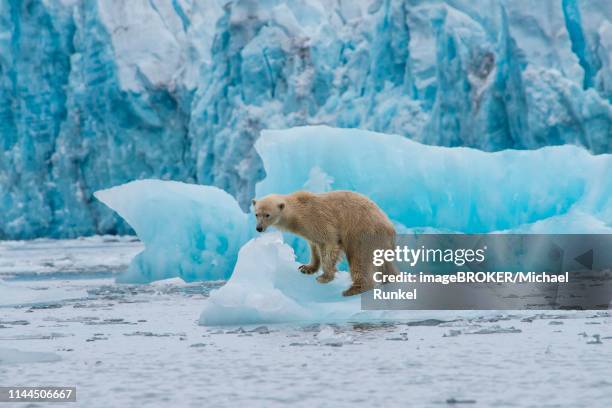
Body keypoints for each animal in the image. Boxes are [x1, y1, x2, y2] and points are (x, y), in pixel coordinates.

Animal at [252, 191, 396, 296]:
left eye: (267, 215)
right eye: (256, 214)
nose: (259, 228)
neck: (298, 211)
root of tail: (390, 227)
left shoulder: (317, 220)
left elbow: (329, 243)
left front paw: (325, 277)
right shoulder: (308, 230)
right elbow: (314, 247)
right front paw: (306, 268)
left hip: (363, 233)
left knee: (359, 259)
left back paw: (353, 289)